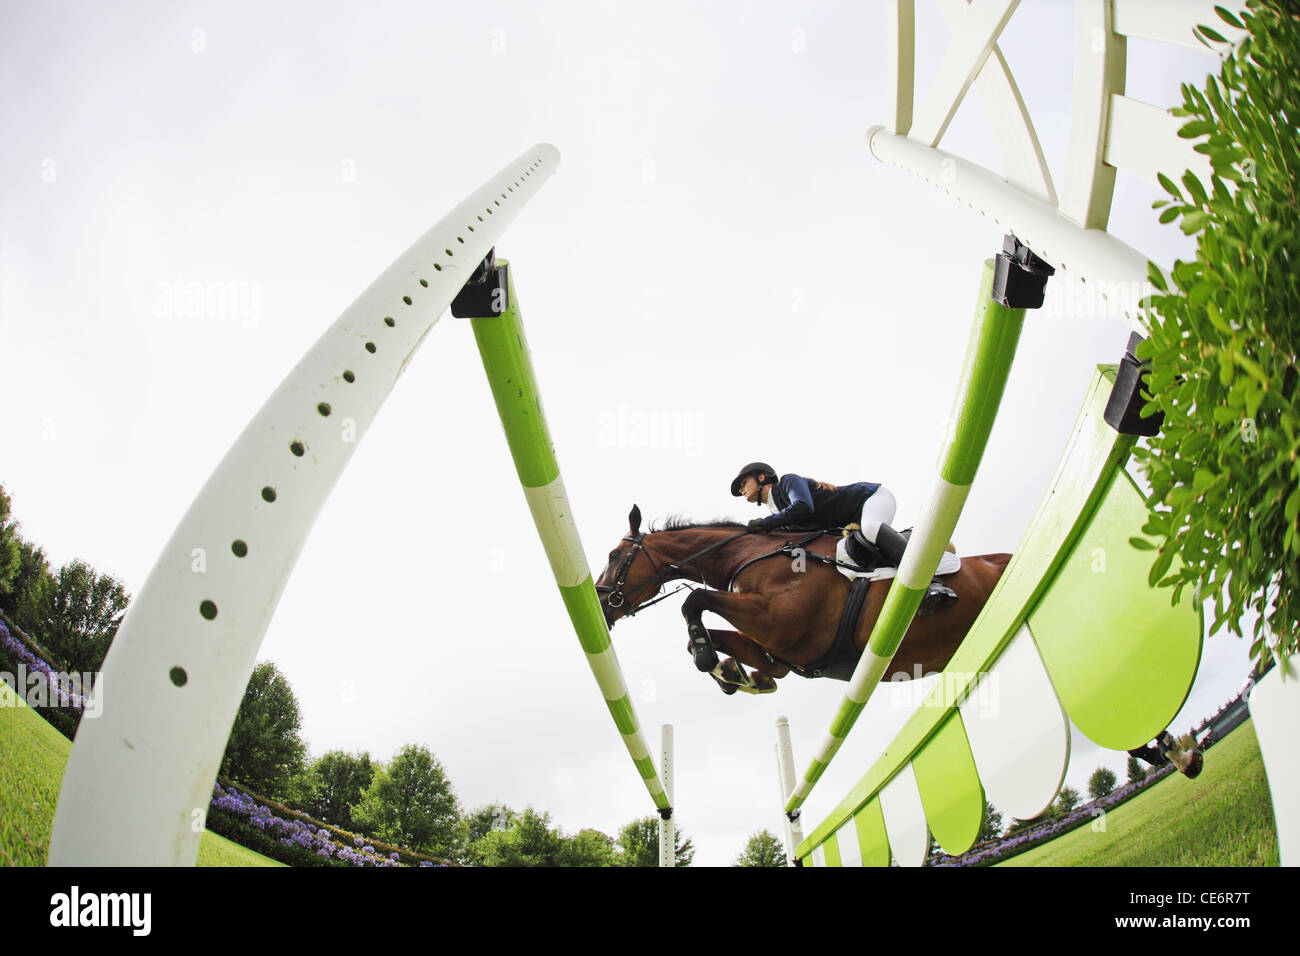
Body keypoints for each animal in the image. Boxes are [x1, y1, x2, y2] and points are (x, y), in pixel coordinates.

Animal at [598, 504, 1013, 697]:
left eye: (614, 556)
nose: (600, 604)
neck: (747, 554)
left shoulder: (780, 621)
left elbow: (694, 601)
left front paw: (710, 660)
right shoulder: (777, 651)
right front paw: (736, 674)